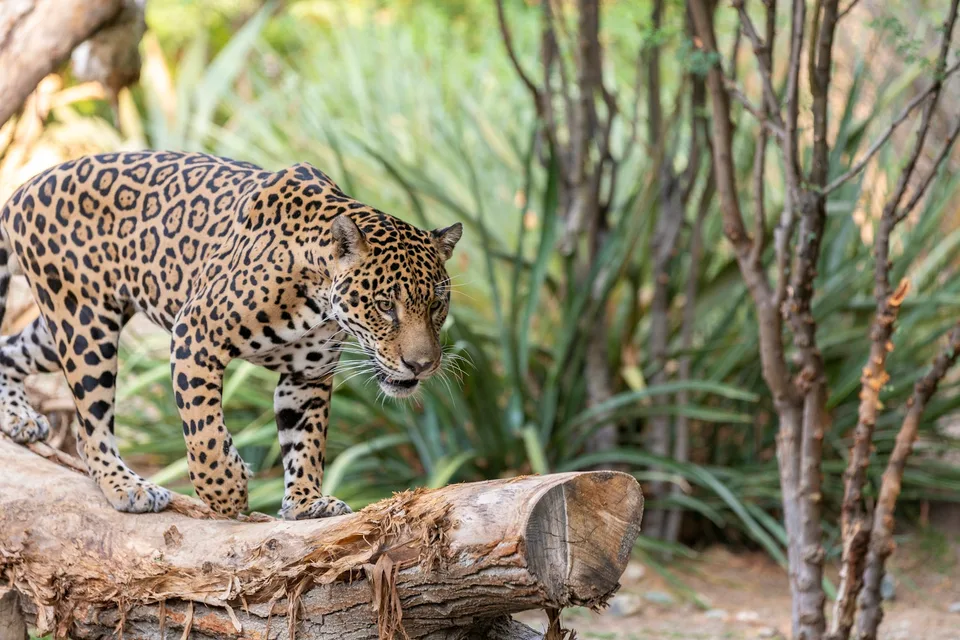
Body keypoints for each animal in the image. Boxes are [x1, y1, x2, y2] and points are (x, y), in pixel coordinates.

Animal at [0, 151, 462, 519]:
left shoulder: (307, 377)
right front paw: (225, 491)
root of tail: (24, 188)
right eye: (385, 305)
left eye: (437, 305)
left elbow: (306, 441)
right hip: (86, 326)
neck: (319, 297)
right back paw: (128, 487)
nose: (421, 365)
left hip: (67, 323)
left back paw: (17, 418)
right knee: (89, 427)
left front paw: (306, 502)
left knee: (9, 348)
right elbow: (203, 428)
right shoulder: (195, 333)